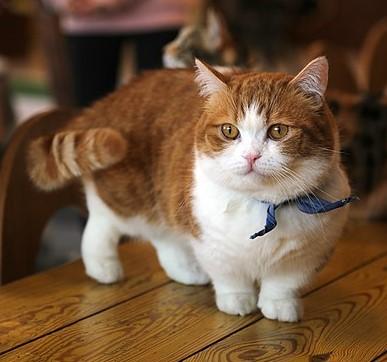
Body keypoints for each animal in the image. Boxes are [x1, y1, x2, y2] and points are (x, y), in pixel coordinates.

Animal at [27, 56, 352, 322]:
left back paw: (184, 271)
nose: (251, 156)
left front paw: (279, 306)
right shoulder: (210, 241)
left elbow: (283, 283)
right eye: (229, 131)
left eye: (278, 131)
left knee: (162, 236)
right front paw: (237, 300)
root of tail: (106, 101)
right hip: (130, 197)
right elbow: (229, 277)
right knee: (101, 223)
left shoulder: (307, 253)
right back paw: (102, 266)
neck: (263, 204)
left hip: (165, 198)